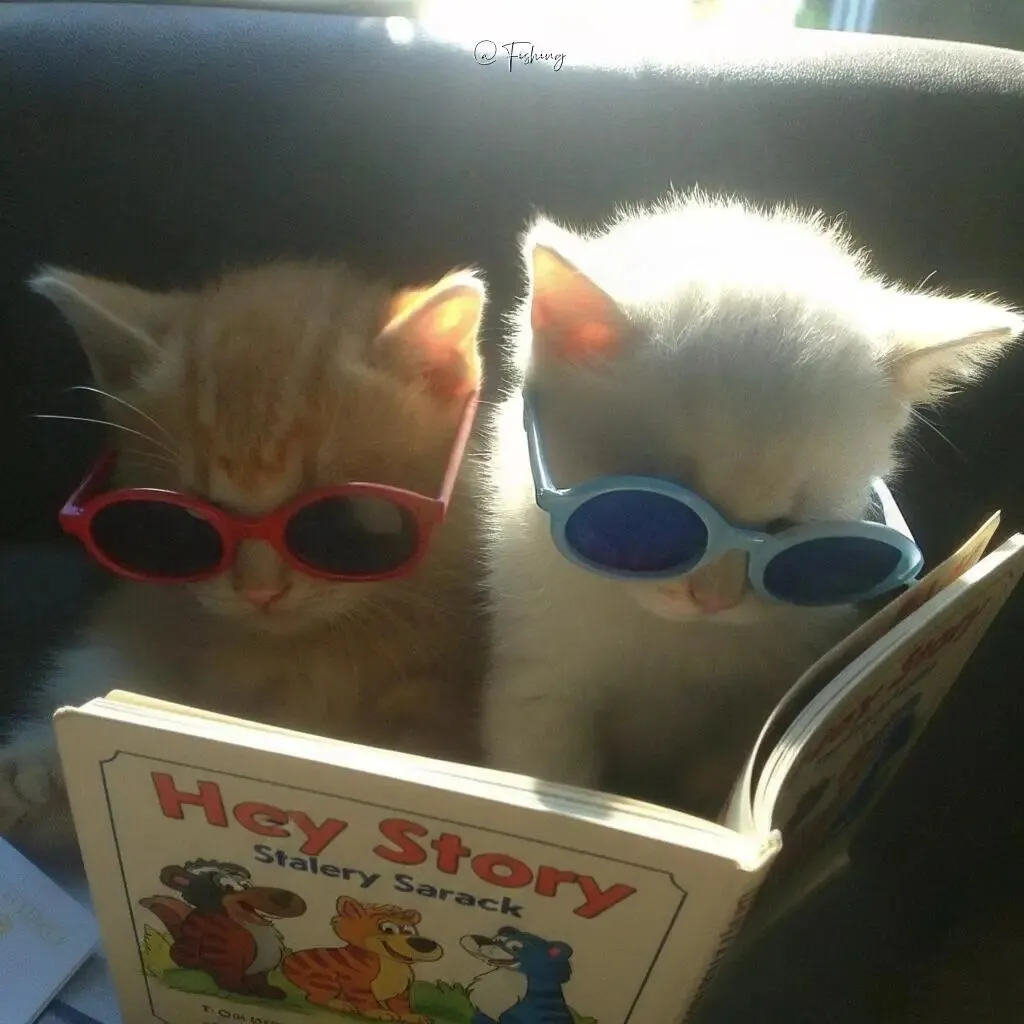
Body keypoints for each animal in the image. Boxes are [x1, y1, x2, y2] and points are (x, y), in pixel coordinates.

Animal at [481, 190, 1023, 818]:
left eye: (788, 528)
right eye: (643, 516)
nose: (712, 598)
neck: (676, 645)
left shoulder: (761, 699)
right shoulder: (539, 680)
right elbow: (550, 773)